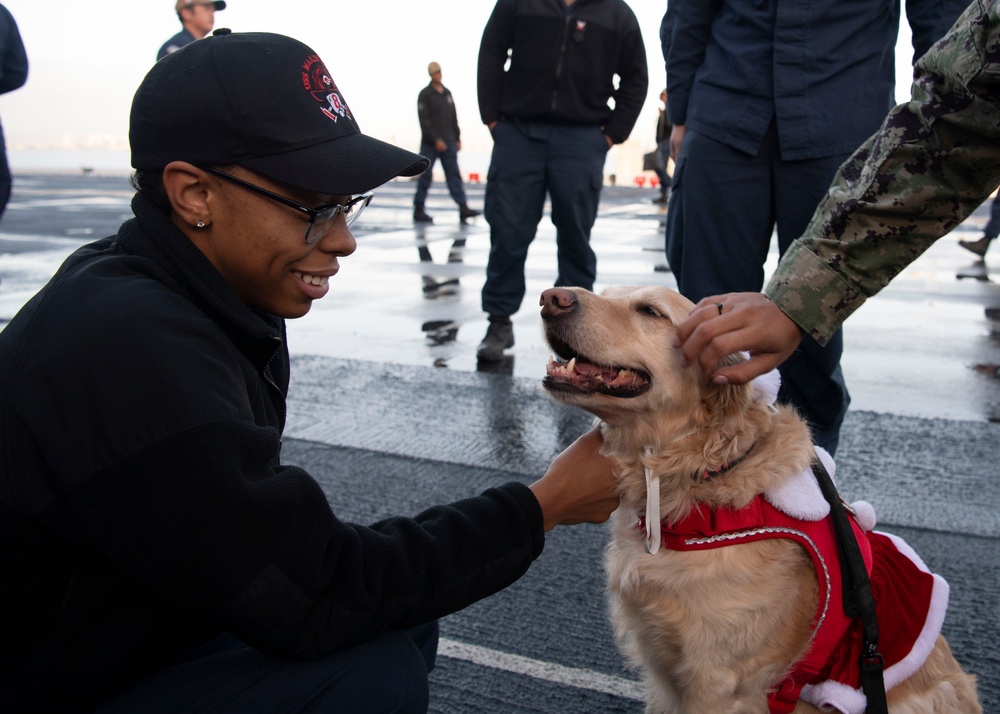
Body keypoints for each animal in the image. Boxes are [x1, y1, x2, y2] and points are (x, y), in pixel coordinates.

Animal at [540, 286, 976, 712]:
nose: (550, 298)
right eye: (604, 291)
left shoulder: (718, 681)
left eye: (650, 311)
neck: (700, 474)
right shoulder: (665, 673)